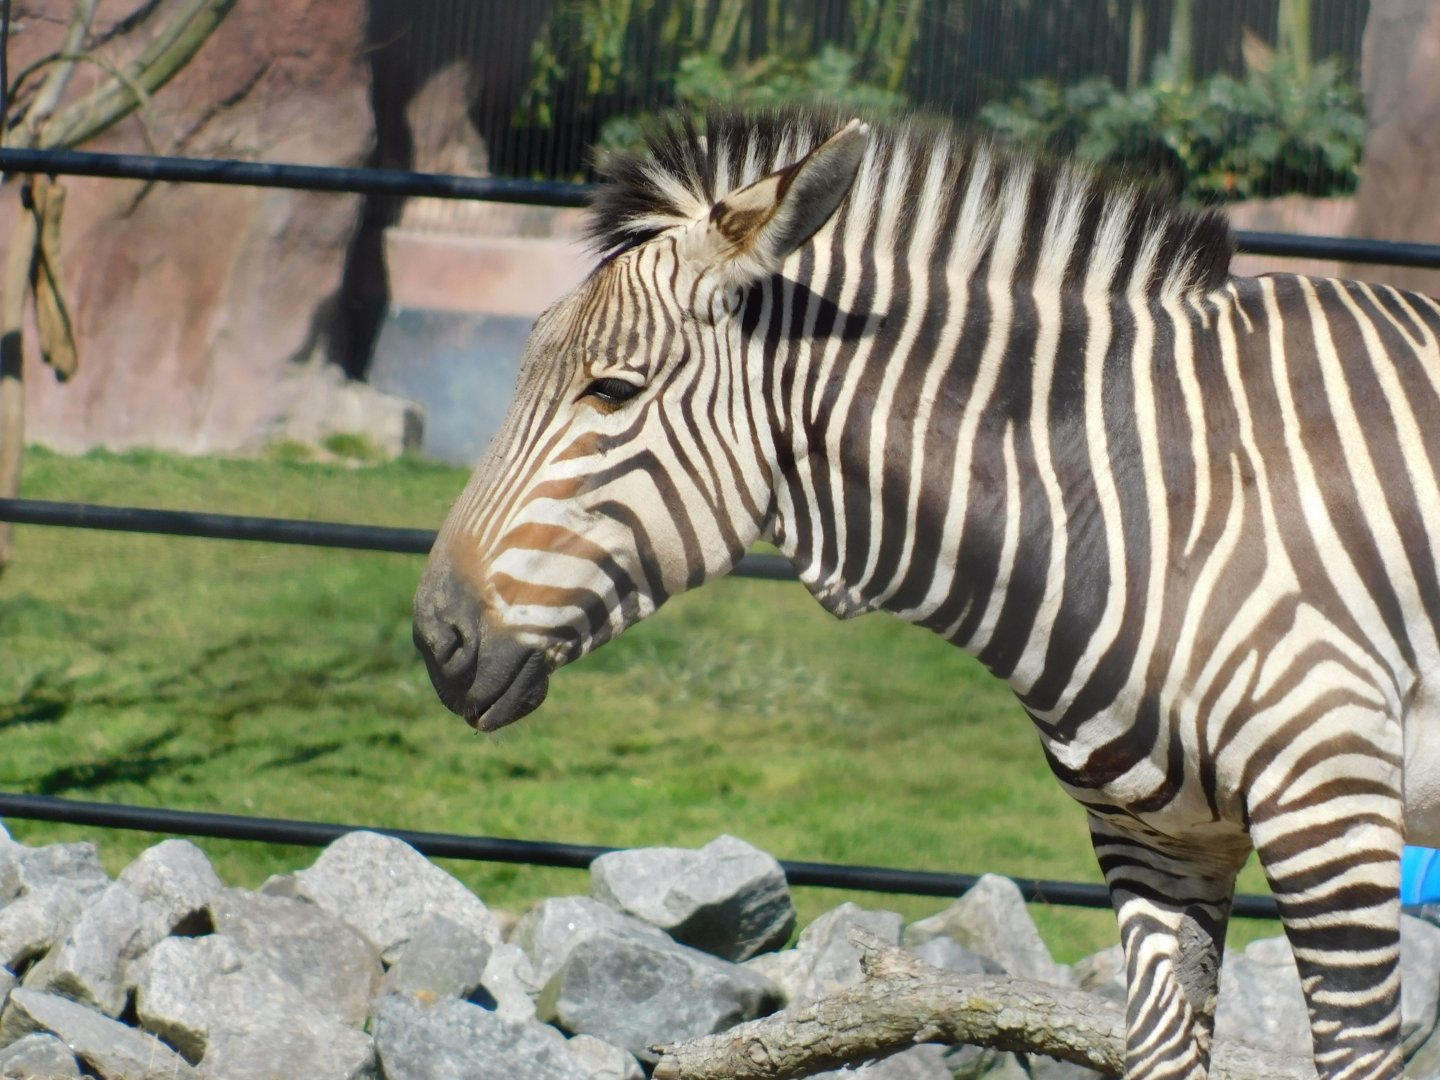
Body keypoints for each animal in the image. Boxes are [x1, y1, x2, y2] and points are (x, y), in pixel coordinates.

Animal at [412, 107, 1440, 1079]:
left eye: (613, 392)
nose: (435, 641)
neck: (1145, 500)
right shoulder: (1161, 838)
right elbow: (1156, 1046)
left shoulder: (1331, 804)